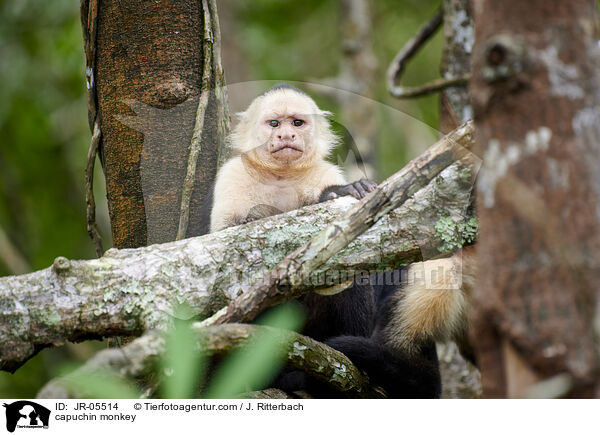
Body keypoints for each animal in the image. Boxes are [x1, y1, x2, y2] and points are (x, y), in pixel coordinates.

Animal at [209, 84, 472, 398]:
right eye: (274, 123)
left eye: (297, 122)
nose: (286, 135)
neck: (282, 175)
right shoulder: (231, 175)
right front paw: (245, 225)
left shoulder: (325, 173)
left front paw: (337, 194)